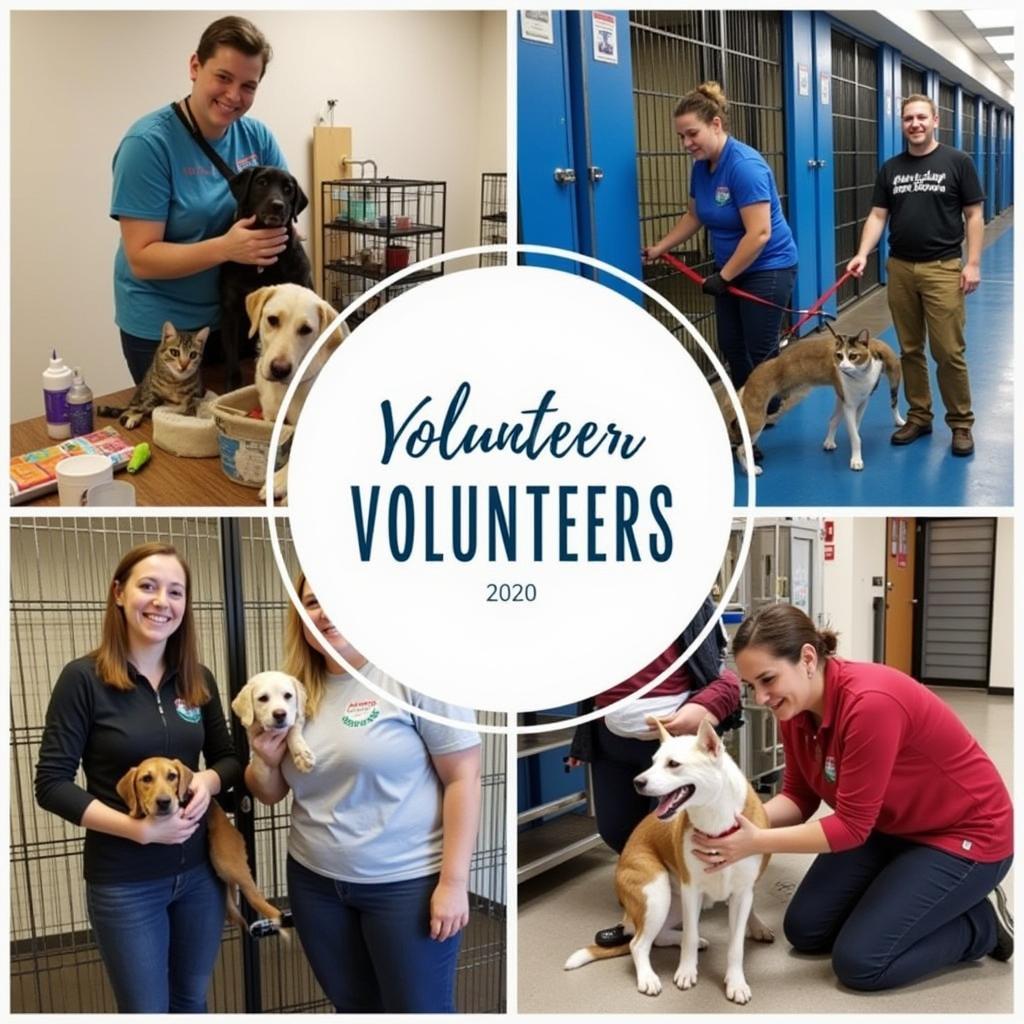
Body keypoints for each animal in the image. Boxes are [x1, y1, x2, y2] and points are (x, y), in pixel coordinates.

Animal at [217, 167, 309, 391]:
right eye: (262, 182)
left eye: (288, 189)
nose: (278, 205)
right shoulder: (230, 310)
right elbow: (231, 354)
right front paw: (233, 385)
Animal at [565, 716, 770, 1003]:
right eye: (653, 761)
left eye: (673, 764)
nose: (637, 782)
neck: (714, 819)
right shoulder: (691, 890)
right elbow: (689, 937)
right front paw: (686, 971)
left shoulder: (742, 895)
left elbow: (736, 945)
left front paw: (736, 982)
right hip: (657, 893)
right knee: (638, 943)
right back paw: (649, 977)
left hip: (671, 904)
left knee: (658, 937)